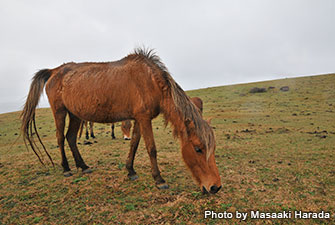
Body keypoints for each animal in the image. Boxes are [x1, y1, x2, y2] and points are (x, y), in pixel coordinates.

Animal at [19, 48, 222, 194]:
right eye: (198, 149)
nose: (215, 187)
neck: (150, 81)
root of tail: (54, 71)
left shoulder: (139, 119)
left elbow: (134, 144)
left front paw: (130, 171)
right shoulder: (144, 118)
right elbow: (151, 149)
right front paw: (159, 180)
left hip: (75, 114)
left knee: (70, 138)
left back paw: (83, 166)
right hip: (60, 112)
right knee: (61, 138)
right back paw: (66, 168)